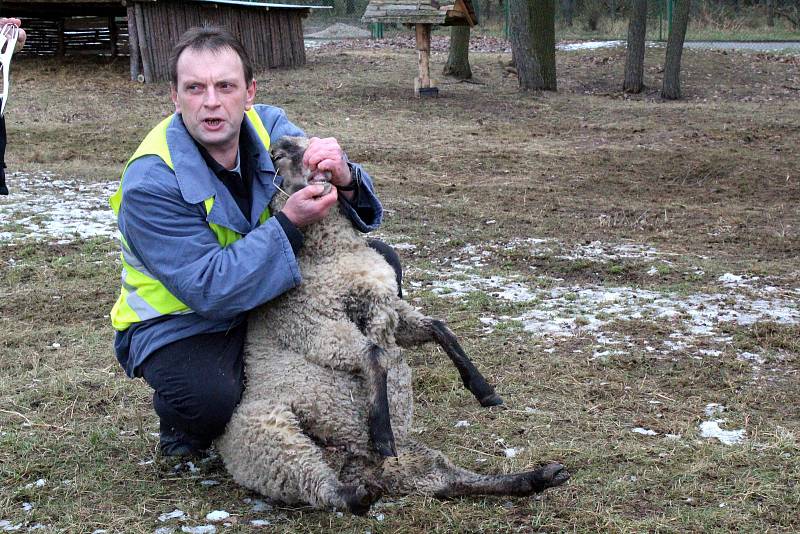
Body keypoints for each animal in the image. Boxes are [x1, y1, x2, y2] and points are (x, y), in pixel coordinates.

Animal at [216, 137, 568, 516]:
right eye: (280, 157)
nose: (279, 144)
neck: (332, 252)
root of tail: (357, 466)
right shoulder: (314, 322)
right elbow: (374, 355)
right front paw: (382, 432)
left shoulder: (391, 310)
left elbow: (439, 328)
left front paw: (484, 390)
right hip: (270, 436)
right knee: (319, 485)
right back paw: (359, 493)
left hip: (413, 461)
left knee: (451, 482)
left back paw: (541, 476)